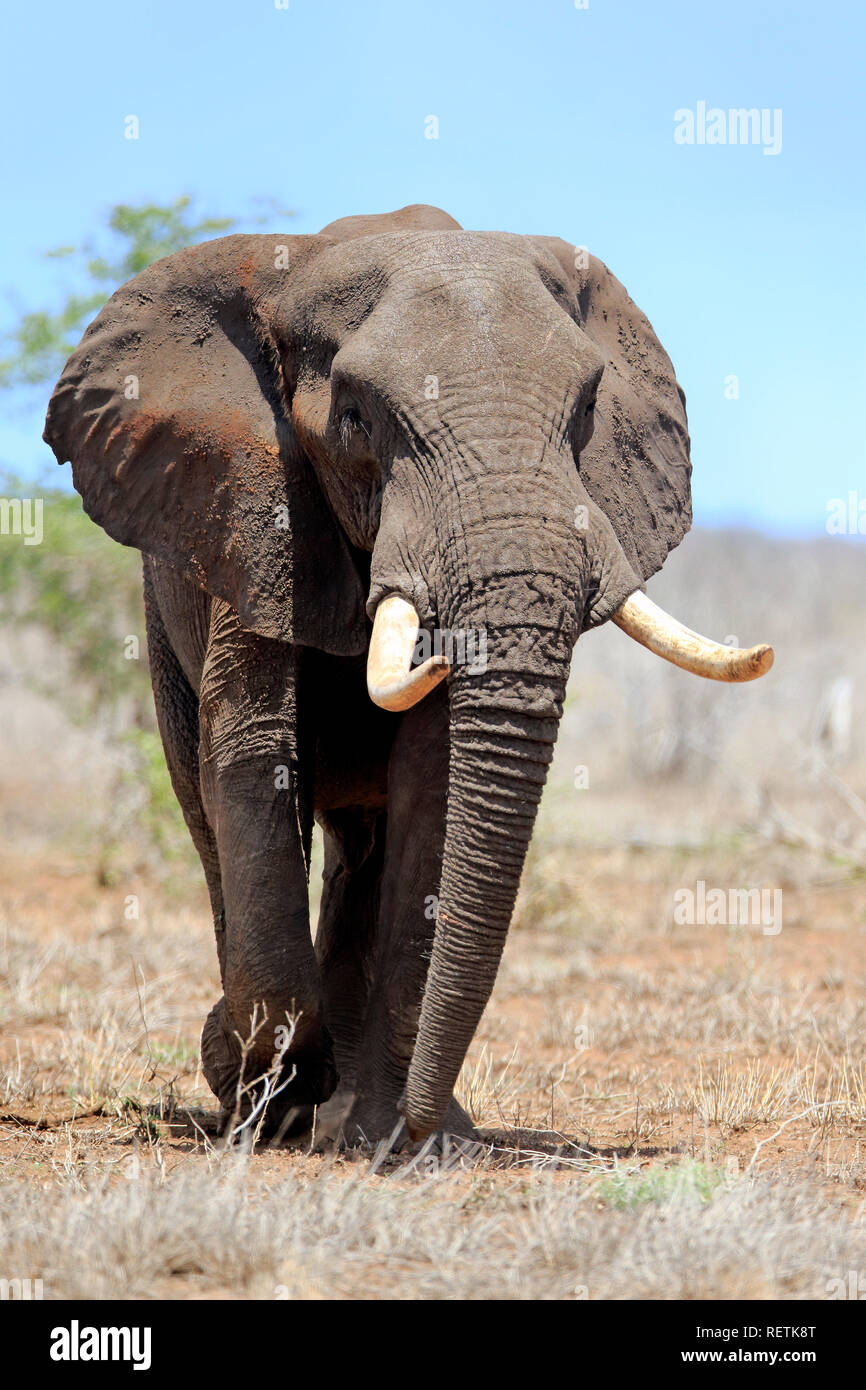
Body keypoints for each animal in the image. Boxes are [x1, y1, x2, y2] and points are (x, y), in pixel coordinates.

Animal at [42, 201, 772, 1145]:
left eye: (584, 410)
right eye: (356, 417)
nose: (428, 1121)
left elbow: (434, 778)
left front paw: (397, 1137)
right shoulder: (256, 509)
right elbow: (253, 754)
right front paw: (267, 1091)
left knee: (365, 843)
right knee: (202, 805)